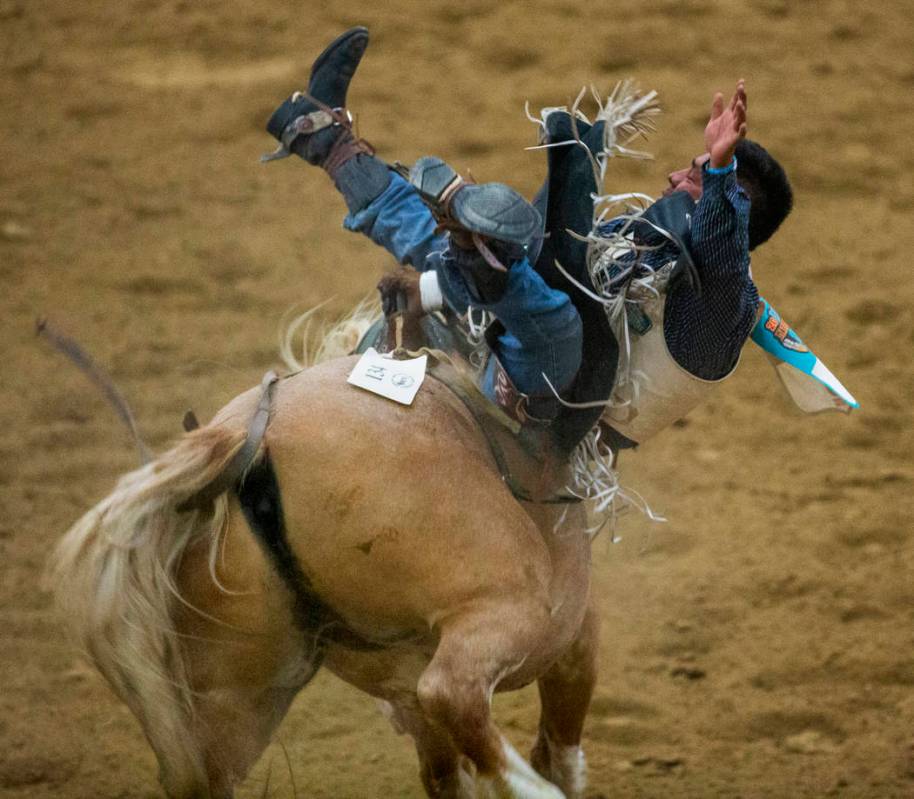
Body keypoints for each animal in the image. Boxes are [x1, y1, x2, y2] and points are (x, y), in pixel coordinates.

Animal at [55, 318, 600, 792]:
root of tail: (243, 443)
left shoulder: (401, 683)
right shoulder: (571, 631)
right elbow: (560, 746)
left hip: (234, 691)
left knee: (197, 775)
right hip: (510, 606)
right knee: (453, 693)